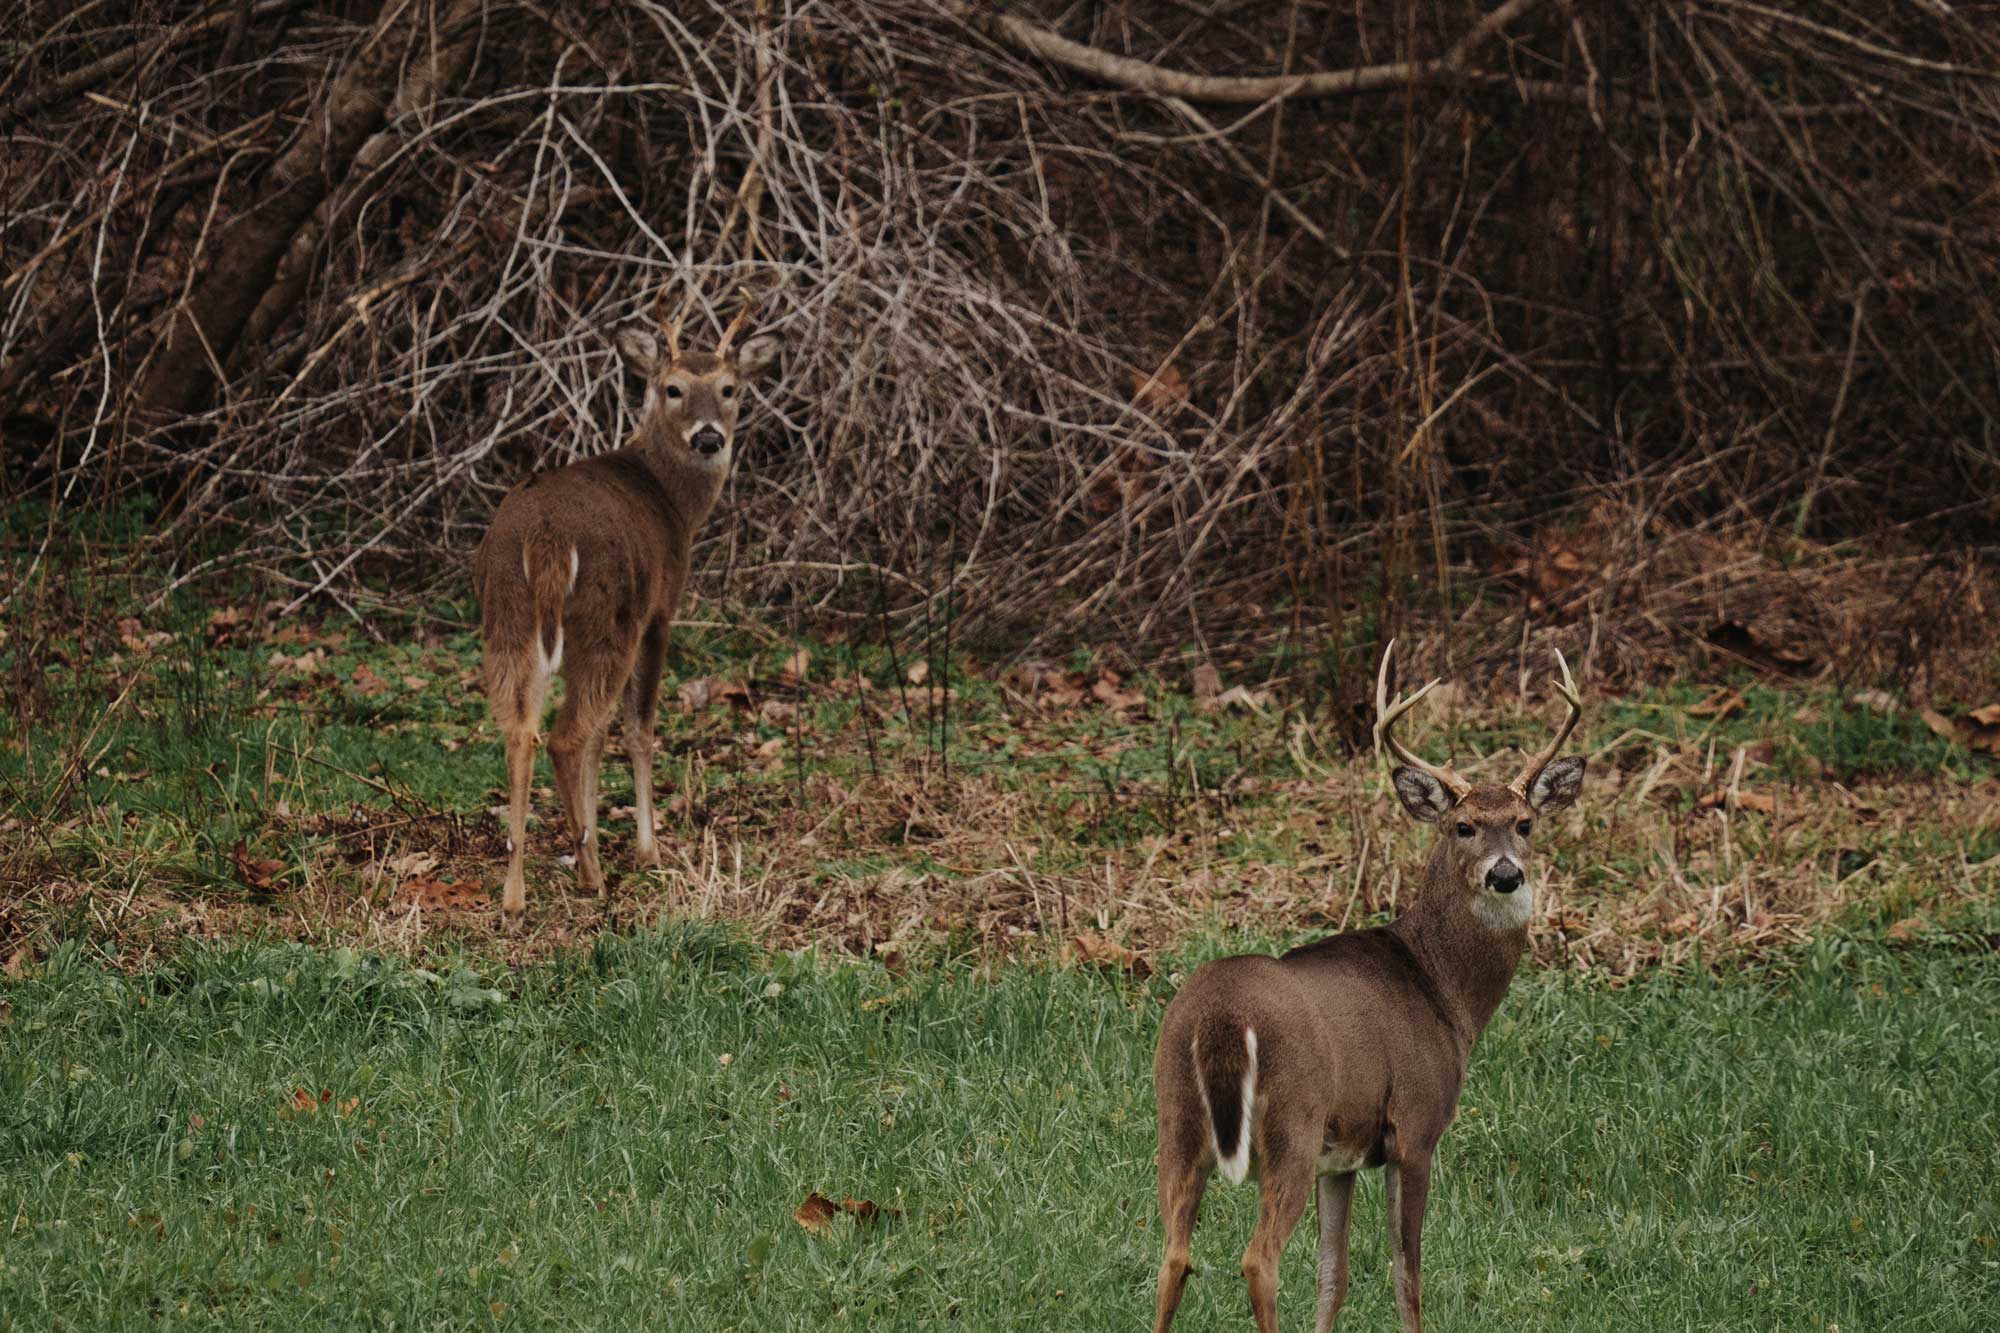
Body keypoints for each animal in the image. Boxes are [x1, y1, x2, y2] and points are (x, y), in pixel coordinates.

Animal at [472, 290, 776, 912]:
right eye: (673, 388)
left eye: (730, 388)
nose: (709, 437)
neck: (673, 503)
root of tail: (545, 537)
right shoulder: (660, 609)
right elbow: (636, 727)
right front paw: (647, 848)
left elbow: (602, 733)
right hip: (605, 616)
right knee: (566, 734)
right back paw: (592, 874)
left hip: (507, 617)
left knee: (522, 731)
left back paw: (515, 895)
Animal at [1152, 640, 1584, 1320]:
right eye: (1462, 826)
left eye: (1525, 823)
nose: (1505, 874)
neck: (1446, 993)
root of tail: (1220, 1019)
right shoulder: (1415, 1125)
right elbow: (1408, 1274)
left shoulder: (1343, 1159)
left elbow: (1334, 1273)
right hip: (1292, 1123)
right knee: (1258, 1260)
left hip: (1174, 1114)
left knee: (1173, 1256)